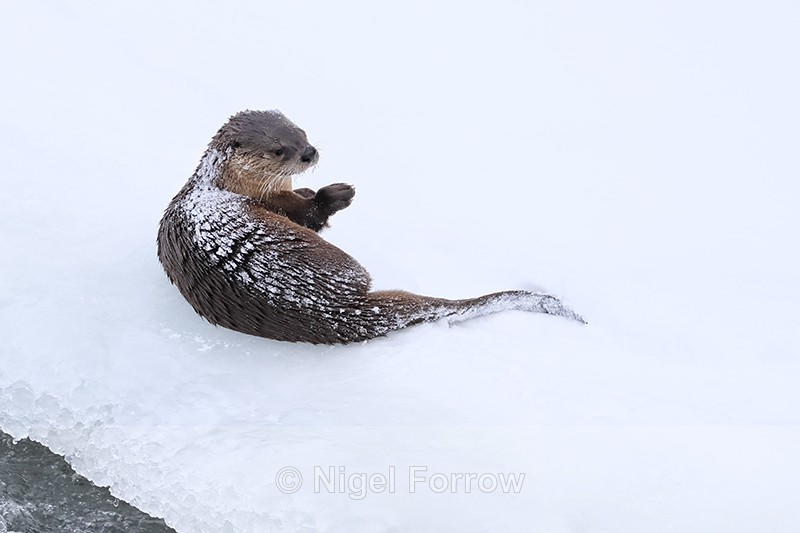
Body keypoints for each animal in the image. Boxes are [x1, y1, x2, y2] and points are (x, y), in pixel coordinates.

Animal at [157, 110, 585, 344]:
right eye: (278, 150)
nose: (310, 152)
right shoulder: (273, 200)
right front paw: (336, 193)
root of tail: (337, 310)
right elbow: (310, 214)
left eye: (301, 132)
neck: (226, 183)